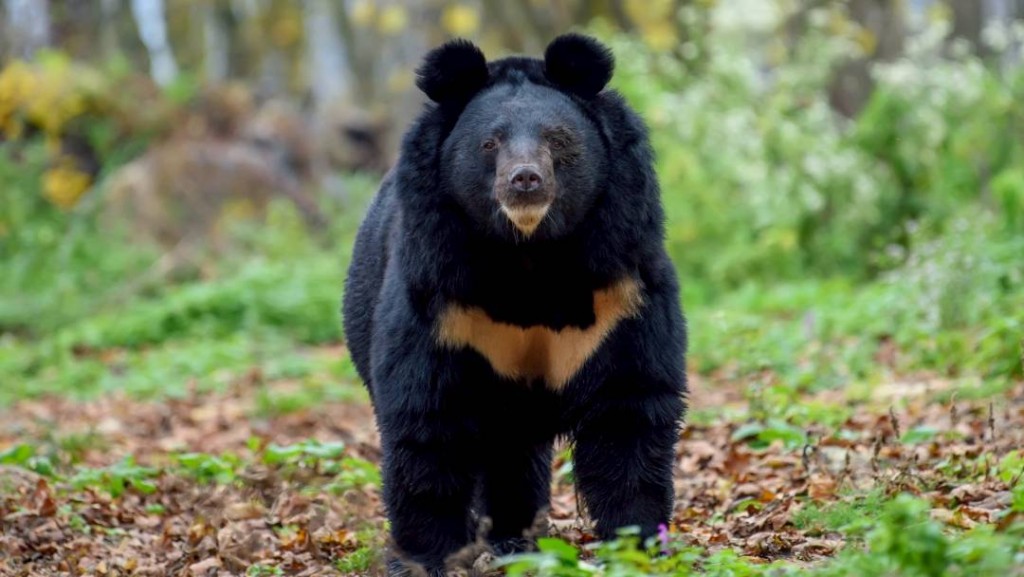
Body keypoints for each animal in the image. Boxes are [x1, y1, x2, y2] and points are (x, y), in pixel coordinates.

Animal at [342, 33, 687, 575]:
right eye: (490, 143)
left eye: (557, 140)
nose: (525, 180)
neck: (529, 255)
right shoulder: (441, 296)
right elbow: (427, 418)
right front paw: (425, 557)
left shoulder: (621, 284)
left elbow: (630, 407)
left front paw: (637, 543)